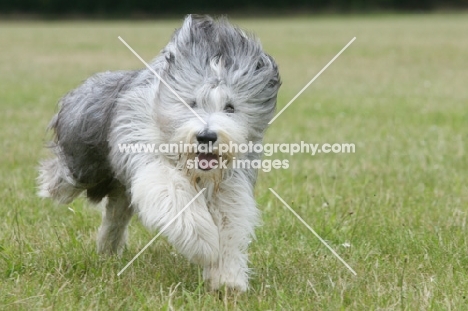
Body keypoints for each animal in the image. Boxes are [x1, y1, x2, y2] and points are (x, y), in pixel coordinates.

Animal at [38, 14, 280, 292]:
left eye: (230, 107)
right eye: (191, 102)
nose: (206, 136)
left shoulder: (230, 182)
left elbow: (230, 220)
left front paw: (227, 278)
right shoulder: (145, 150)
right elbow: (173, 193)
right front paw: (204, 244)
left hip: (119, 188)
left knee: (116, 213)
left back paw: (108, 249)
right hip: (83, 162)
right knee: (67, 178)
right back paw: (50, 187)